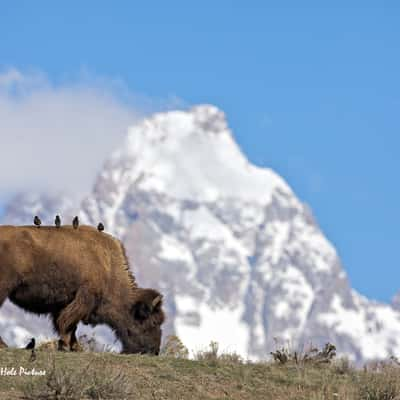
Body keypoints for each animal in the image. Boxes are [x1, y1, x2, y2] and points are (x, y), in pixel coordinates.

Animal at [0, 225, 164, 354]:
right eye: (153, 322)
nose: (154, 351)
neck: (108, 266)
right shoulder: (84, 299)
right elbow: (67, 323)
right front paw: (66, 346)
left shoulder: (66, 302)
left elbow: (68, 325)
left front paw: (74, 347)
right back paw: (4, 346)